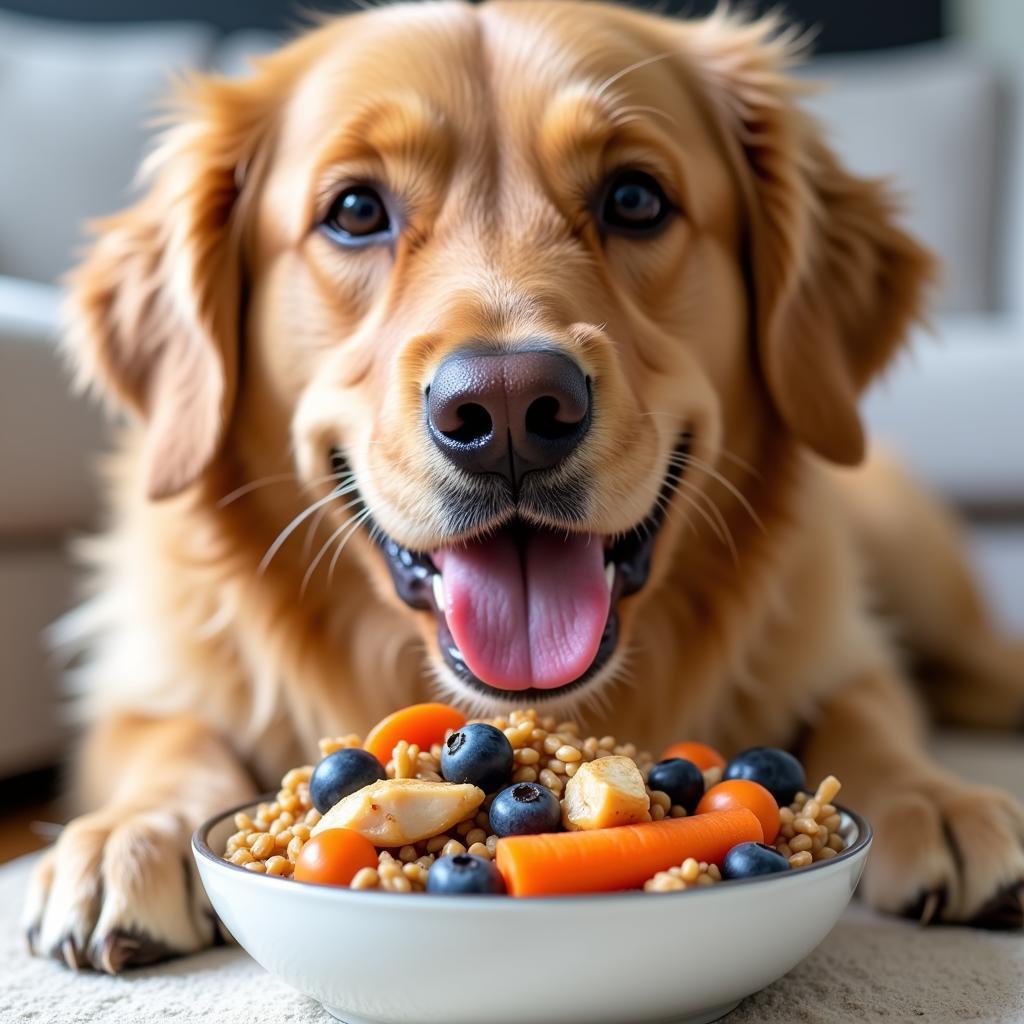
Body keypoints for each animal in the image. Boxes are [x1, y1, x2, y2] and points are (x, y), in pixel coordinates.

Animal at [18, 0, 1024, 970]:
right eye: (355, 210)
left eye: (635, 198)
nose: (507, 407)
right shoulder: (147, 681)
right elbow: (167, 739)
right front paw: (126, 838)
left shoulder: (846, 652)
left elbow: (869, 716)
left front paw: (942, 799)